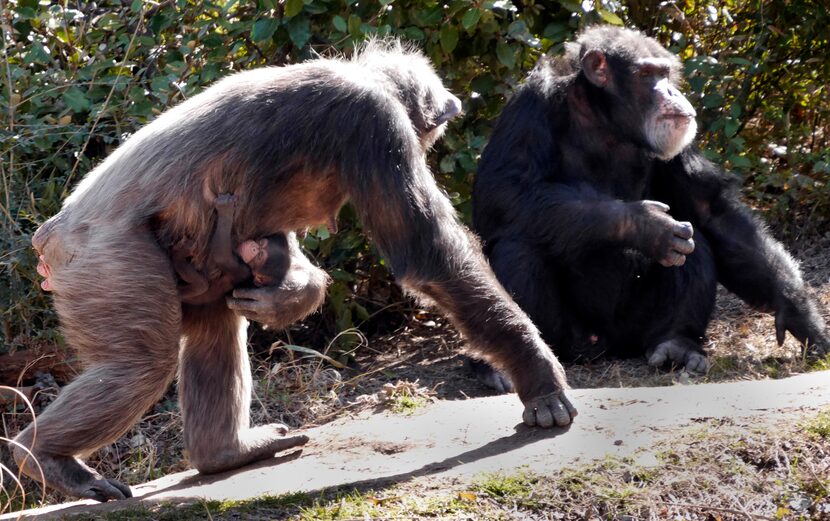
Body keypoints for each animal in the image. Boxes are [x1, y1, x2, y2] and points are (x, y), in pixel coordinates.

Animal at [472, 25, 828, 390]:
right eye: (646, 75)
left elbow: (710, 211)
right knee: (520, 247)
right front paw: (645, 226)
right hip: (573, 339)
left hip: (636, 332)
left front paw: (799, 312)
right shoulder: (531, 106)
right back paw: (510, 363)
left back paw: (677, 344)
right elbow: (506, 189)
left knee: (693, 240)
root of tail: (607, 348)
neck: (605, 119)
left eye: (664, 73)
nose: (670, 91)